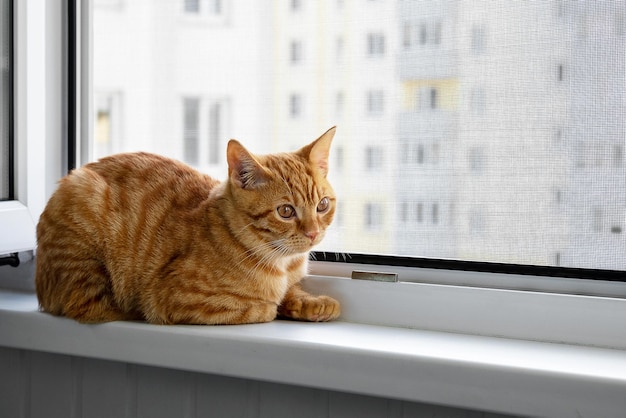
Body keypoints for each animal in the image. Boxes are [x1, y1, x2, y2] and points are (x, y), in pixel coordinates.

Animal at [35, 125, 336, 324]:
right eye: (285, 211)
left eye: (322, 205)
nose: (313, 233)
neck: (282, 263)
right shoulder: (172, 299)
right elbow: (263, 307)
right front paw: (275, 305)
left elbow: (292, 292)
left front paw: (313, 303)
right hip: (84, 220)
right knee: (89, 306)